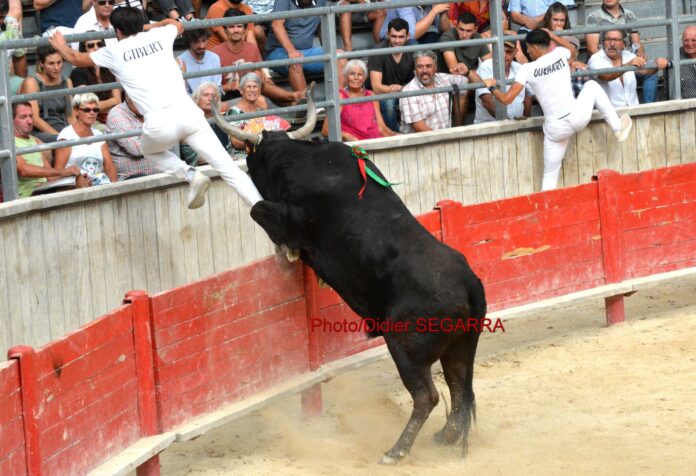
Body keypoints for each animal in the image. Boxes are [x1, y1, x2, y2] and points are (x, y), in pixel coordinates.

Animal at [212, 95, 484, 462]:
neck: (298, 159)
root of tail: (469, 284)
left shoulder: (288, 215)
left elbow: (259, 210)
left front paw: (287, 252)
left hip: (405, 348)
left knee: (427, 395)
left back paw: (396, 451)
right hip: (460, 345)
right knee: (457, 383)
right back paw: (446, 435)